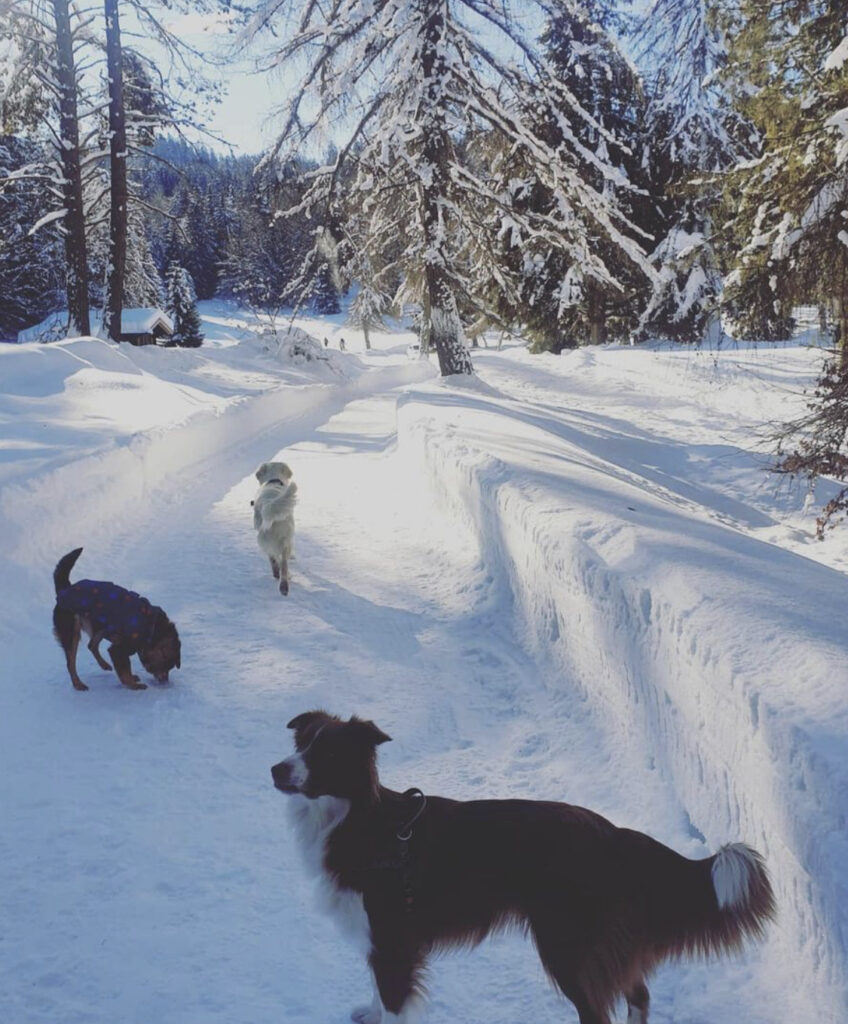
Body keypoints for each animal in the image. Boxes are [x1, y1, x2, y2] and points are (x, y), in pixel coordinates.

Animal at [52, 548, 181, 692]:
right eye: (166, 666)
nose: (165, 682)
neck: (153, 629)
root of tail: (64, 590)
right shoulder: (119, 649)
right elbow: (125, 669)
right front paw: (132, 684)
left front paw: (132, 679)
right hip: (72, 631)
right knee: (71, 662)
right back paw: (77, 683)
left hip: (101, 625)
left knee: (91, 645)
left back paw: (104, 665)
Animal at [251, 460, 299, 598]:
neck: (273, 481)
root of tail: (268, 504)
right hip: (285, 540)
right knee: (283, 564)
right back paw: (284, 585)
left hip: (264, 540)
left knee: (273, 560)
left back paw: (276, 575)